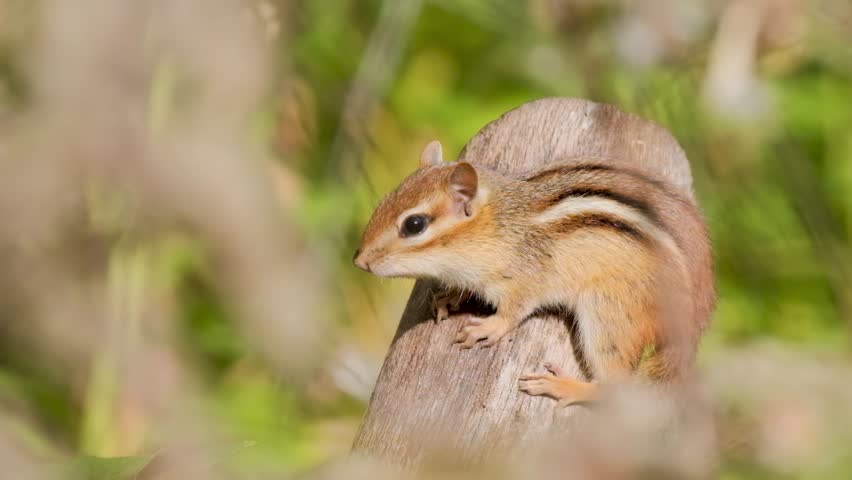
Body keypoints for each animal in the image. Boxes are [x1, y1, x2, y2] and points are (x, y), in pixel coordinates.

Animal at [354, 140, 715, 406]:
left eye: (414, 224)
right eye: (384, 202)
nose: (360, 261)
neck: (498, 223)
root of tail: (694, 321)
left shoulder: (526, 279)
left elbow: (514, 311)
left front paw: (488, 327)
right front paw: (449, 296)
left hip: (610, 315)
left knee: (616, 385)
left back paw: (561, 386)